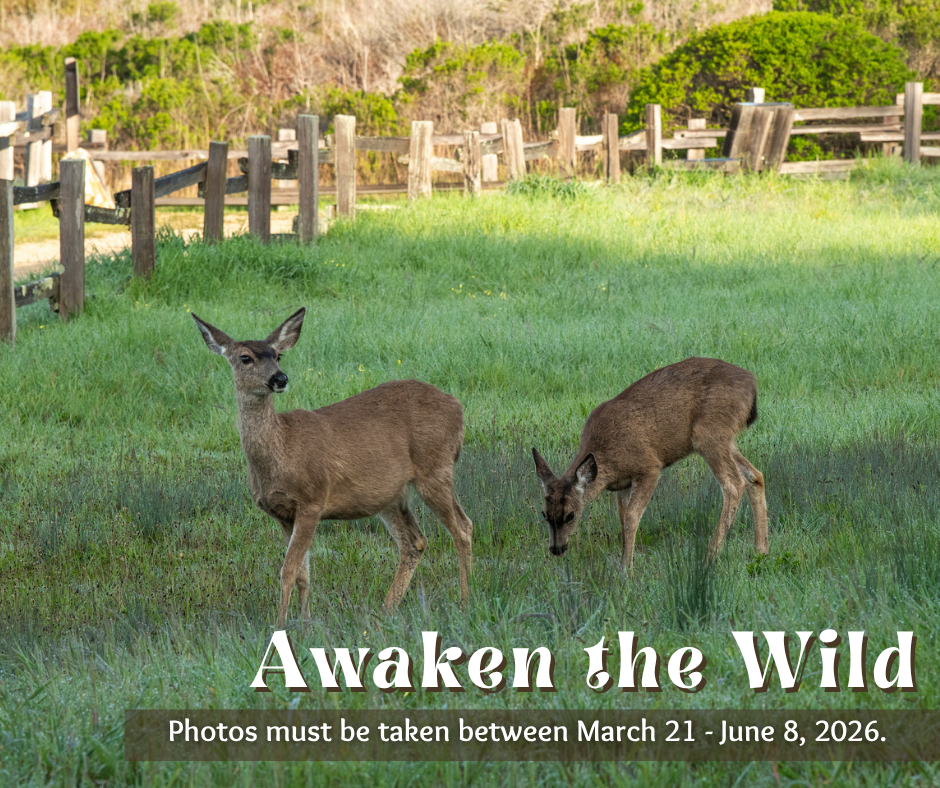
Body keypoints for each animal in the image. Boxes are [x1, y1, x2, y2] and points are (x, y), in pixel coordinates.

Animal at [192, 308, 473, 627]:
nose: (280, 378)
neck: (282, 450)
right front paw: (304, 623)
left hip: (436, 467)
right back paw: (386, 611)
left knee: (462, 527)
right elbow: (303, 573)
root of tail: (458, 406)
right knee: (415, 542)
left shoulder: (312, 501)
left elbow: (288, 570)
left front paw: (280, 626)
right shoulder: (282, 515)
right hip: (390, 495)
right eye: (245, 358)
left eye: (278, 355)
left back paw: (465, 602)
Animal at [531, 357, 768, 569]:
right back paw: (761, 551)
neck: (607, 460)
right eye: (544, 513)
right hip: (725, 440)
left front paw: (626, 569)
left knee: (734, 483)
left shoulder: (648, 467)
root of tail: (752, 384)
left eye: (571, 515)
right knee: (755, 475)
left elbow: (631, 517)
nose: (557, 549)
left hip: (709, 434)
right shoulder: (623, 484)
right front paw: (624, 561)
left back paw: (709, 557)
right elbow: (622, 518)